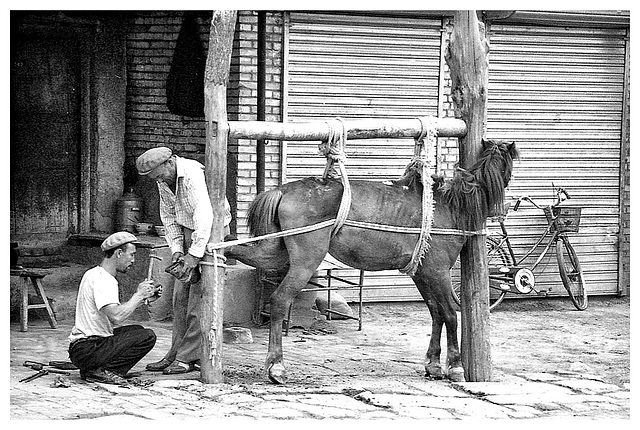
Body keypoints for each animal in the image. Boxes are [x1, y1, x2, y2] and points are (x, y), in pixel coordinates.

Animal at [226, 139, 520, 384]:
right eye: (510, 169)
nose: (504, 209)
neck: (450, 206)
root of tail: (282, 190)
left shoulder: (422, 274)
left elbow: (435, 313)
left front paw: (434, 364)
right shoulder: (439, 272)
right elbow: (449, 314)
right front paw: (455, 366)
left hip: (278, 252)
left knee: (251, 257)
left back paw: (223, 248)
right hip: (305, 262)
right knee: (278, 301)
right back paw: (276, 366)